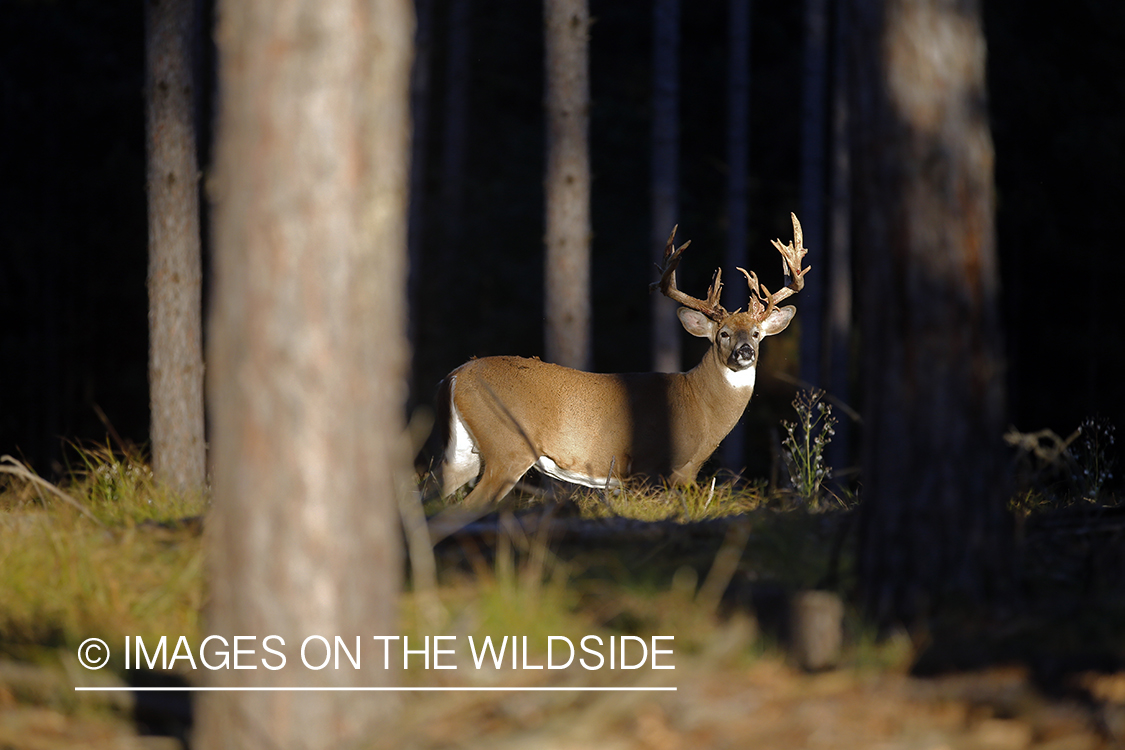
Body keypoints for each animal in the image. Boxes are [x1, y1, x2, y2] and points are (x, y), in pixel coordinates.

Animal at [423, 211, 810, 510]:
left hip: (463, 453)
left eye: (757, 333)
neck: (697, 406)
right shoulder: (647, 468)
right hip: (507, 446)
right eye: (724, 334)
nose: (745, 352)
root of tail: (453, 377)